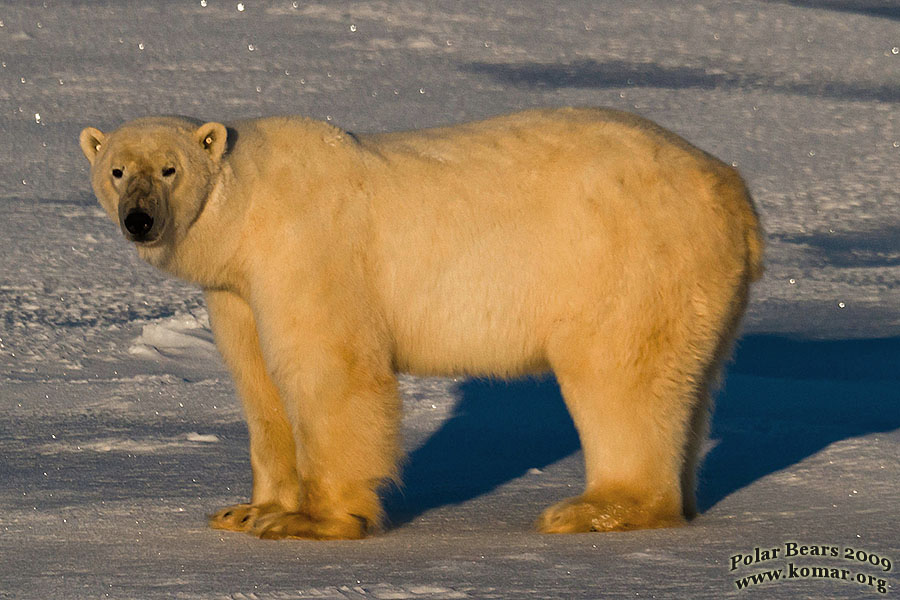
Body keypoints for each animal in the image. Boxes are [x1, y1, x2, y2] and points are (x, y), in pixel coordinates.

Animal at [81, 108, 764, 540]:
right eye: (117, 170)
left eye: (169, 169)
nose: (139, 220)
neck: (248, 207)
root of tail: (734, 191)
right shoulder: (237, 289)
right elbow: (258, 385)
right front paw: (247, 512)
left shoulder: (308, 247)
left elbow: (332, 370)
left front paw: (312, 521)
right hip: (699, 289)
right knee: (687, 382)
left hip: (628, 258)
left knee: (620, 375)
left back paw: (595, 508)